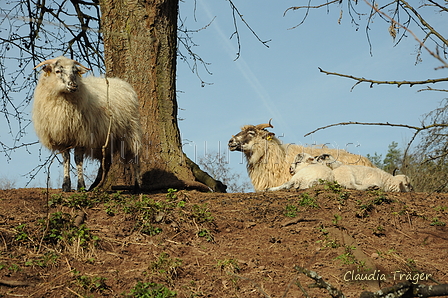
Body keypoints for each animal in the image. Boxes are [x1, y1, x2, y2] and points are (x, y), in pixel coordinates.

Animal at [32, 55, 141, 191]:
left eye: (75, 71)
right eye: (57, 71)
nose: (73, 85)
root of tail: (122, 83)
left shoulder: (82, 136)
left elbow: (78, 159)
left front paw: (81, 186)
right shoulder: (62, 137)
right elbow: (66, 159)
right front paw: (66, 185)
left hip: (131, 131)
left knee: (135, 156)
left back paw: (137, 185)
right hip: (107, 139)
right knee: (106, 161)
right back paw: (96, 185)